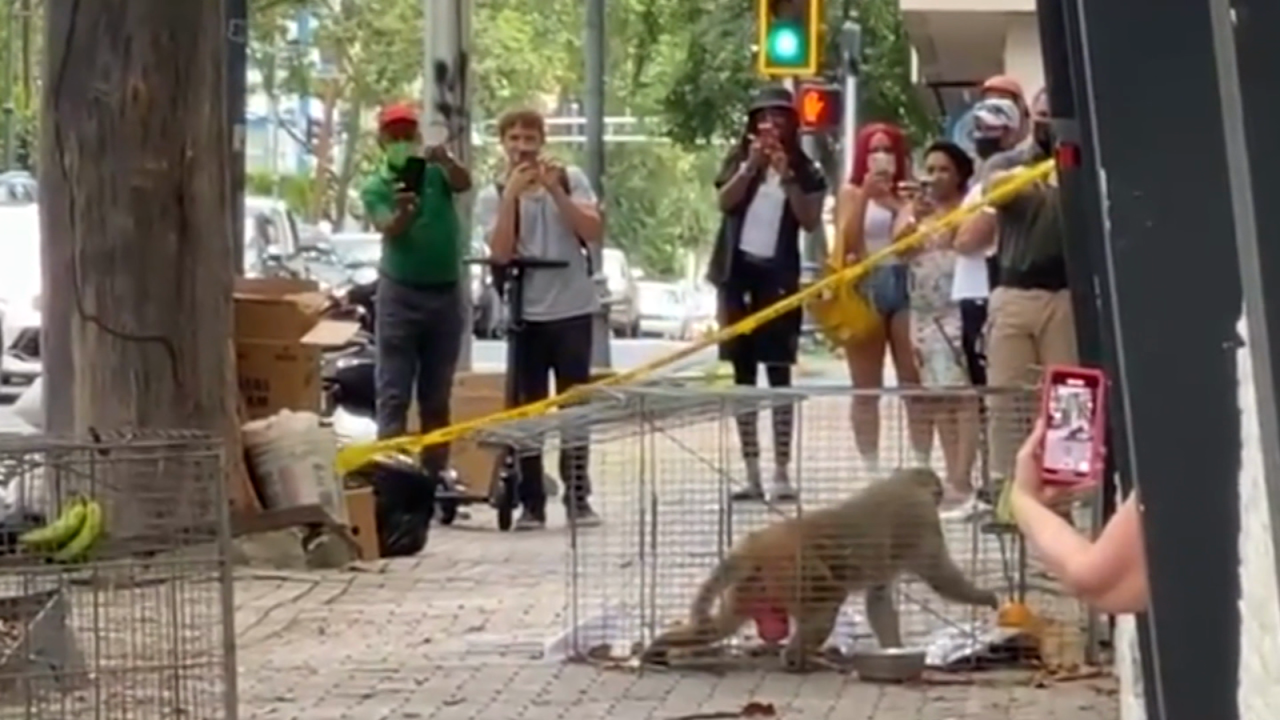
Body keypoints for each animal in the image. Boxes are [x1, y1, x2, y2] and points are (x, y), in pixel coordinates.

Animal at [640, 466, 998, 666]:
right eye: (936, 492)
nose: (940, 494)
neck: (907, 484)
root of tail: (758, 543)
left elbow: (879, 599)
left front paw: (894, 649)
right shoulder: (921, 520)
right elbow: (940, 576)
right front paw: (987, 598)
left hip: (758, 582)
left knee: (717, 627)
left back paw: (658, 648)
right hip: (792, 569)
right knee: (828, 601)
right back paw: (795, 658)